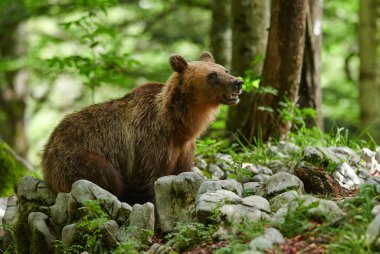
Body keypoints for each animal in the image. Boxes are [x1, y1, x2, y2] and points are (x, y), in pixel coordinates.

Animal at [41, 51, 243, 204]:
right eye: (212, 75)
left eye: (225, 69)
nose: (238, 82)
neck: (175, 126)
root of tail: (48, 144)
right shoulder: (148, 141)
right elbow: (146, 181)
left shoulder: (184, 149)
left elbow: (183, 171)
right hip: (77, 156)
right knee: (105, 177)